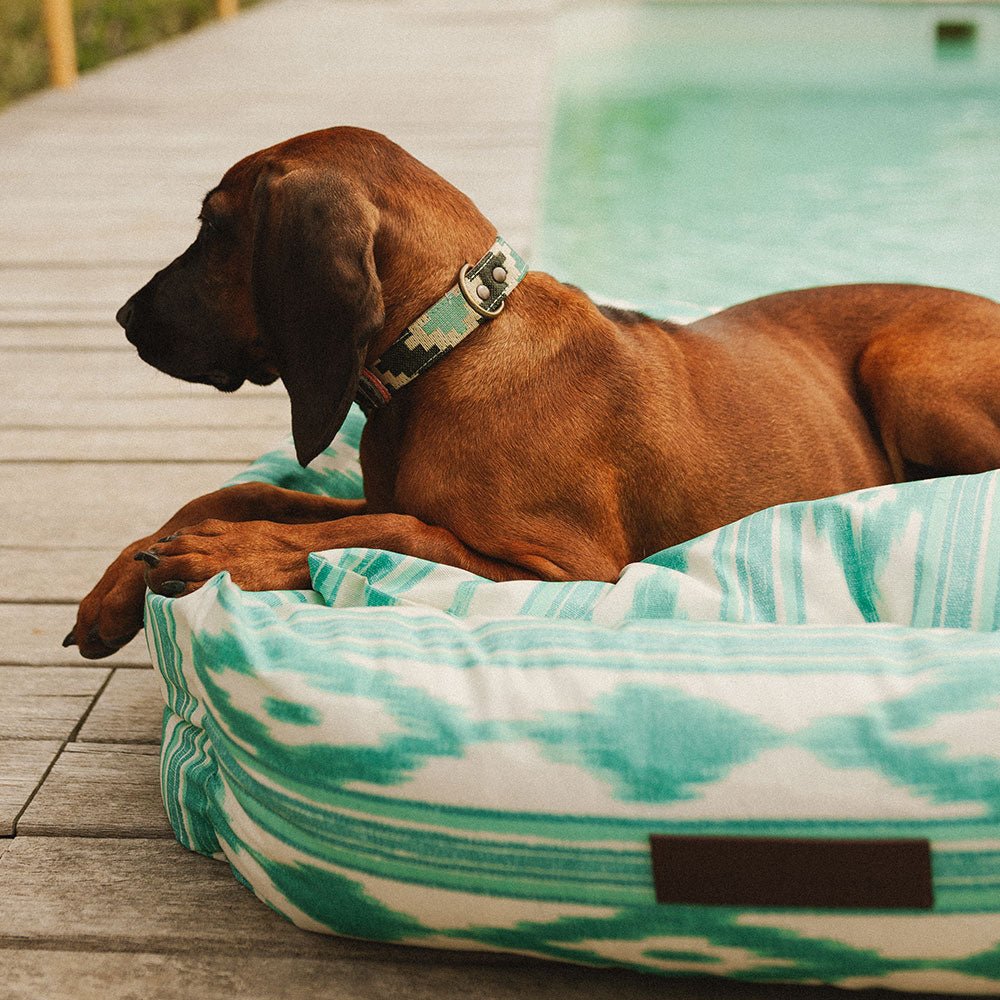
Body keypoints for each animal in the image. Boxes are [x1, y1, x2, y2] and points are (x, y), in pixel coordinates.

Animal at [66, 125, 996, 656]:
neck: (452, 350)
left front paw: (219, 553)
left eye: (215, 227)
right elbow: (256, 493)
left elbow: (389, 531)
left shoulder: (564, 569)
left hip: (908, 370)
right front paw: (124, 577)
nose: (125, 317)